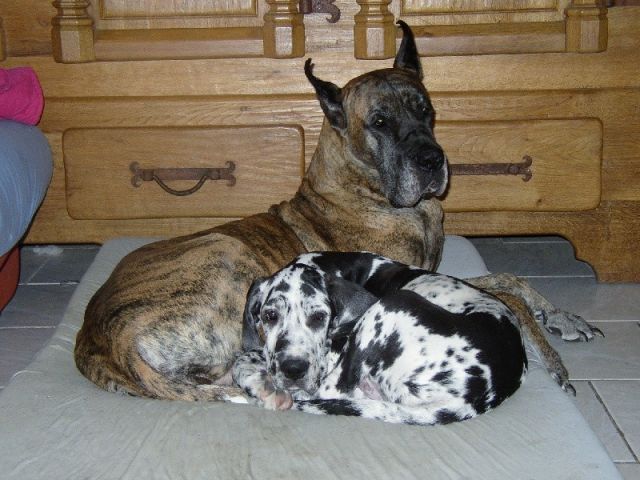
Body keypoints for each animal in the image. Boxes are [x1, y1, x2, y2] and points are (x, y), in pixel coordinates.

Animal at [75, 21, 599, 401]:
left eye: (425, 109)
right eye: (380, 122)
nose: (433, 161)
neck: (372, 194)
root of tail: (100, 340)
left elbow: (513, 279)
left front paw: (565, 318)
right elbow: (507, 293)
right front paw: (551, 355)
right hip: (228, 255)